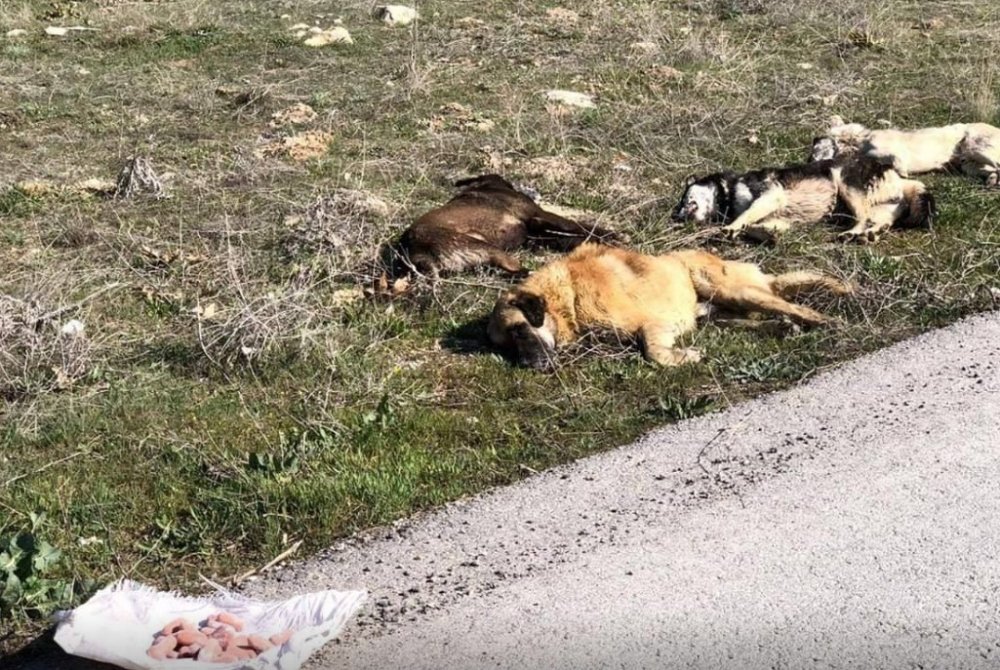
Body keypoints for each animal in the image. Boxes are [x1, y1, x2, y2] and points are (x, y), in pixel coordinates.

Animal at [394, 175, 620, 280]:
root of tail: (413, 250)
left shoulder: (536, 231)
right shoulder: (539, 216)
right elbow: (578, 225)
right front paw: (608, 235)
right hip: (487, 248)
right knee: (521, 270)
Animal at [488, 243, 848, 370]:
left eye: (520, 331)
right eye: (504, 347)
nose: (528, 367)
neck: (567, 297)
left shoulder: (652, 322)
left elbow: (654, 352)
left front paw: (686, 357)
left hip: (726, 288)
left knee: (791, 306)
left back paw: (828, 321)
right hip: (718, 315)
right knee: (758, 319)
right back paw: (781, 328)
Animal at [668, 155, 932, 244]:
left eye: (683, 199)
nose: (677, 216)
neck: (727, 192)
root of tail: (898, 177)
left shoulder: (771, 195)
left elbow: (745, 217)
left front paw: (731, 228)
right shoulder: (778, 218)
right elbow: (756, 225)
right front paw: (764, 234)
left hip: (844, 182)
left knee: (863, 217)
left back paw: (851, 233)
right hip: (882, 207)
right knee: (879, 222)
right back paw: (870, 234)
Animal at [808, 113, 1000, 185]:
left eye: (815, 148)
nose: (810, 162)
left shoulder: (888, 150)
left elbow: (894, 159)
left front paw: (902, 172)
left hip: (973, 147)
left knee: (997, 164)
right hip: (968, 164)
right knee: (993, 169)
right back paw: (992, 180)